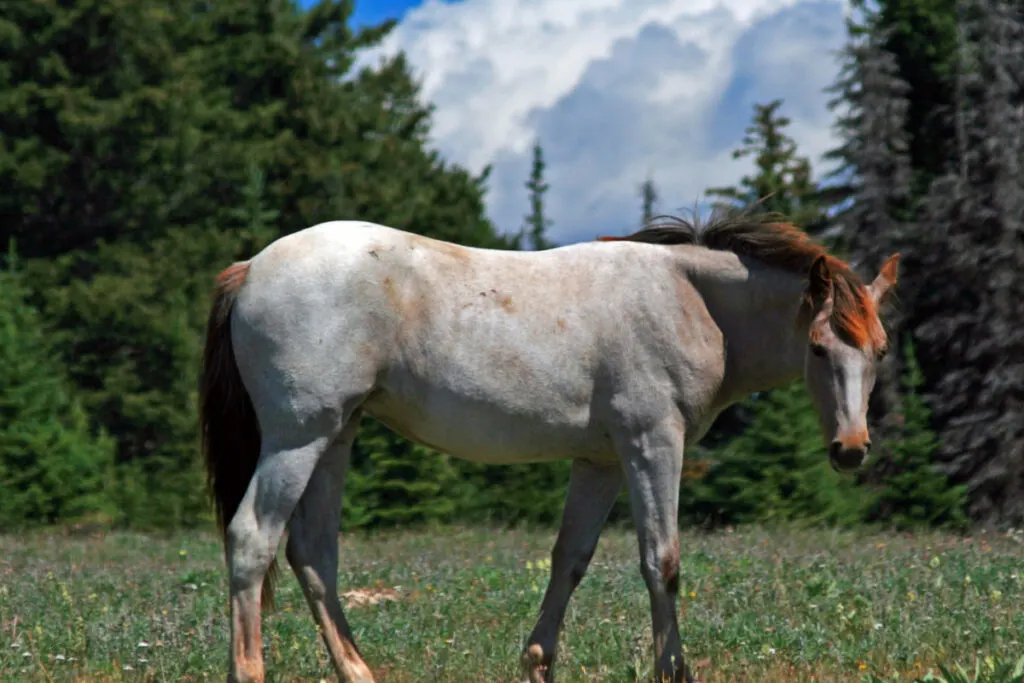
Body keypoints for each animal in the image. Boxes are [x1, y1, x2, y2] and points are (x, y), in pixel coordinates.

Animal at [197, 208, 897, 683]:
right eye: (817, 348)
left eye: (881, 351)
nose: (851, 449)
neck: (692, 302)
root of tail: (250, 268)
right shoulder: (652, 444)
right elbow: (662, 561)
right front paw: (674, 670)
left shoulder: (600, 462)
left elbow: (571, 560)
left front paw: (538, 661)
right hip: (298, 438)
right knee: (253, 539)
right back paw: (250, 670)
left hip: (335, 435)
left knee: (314, 554)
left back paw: (359, 671)